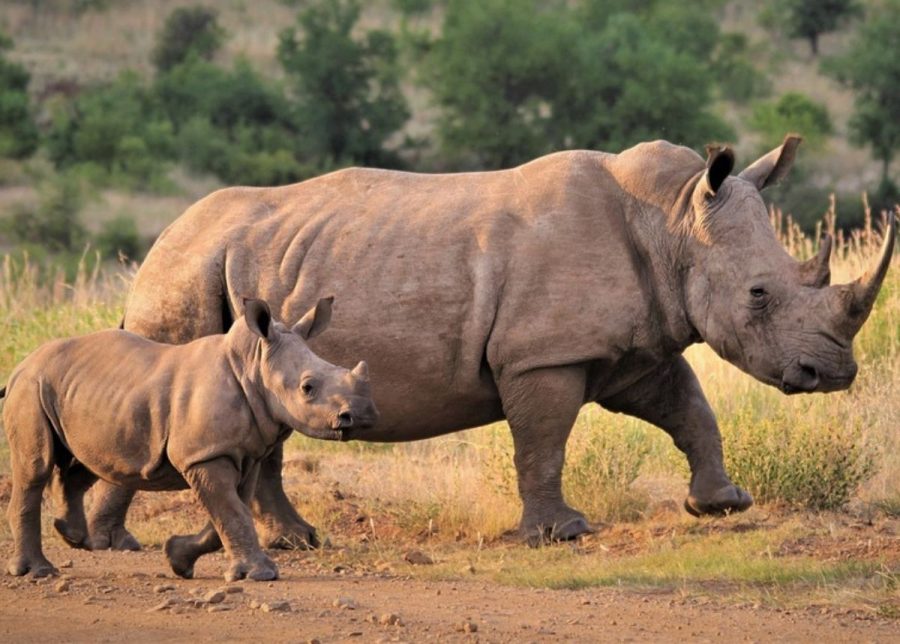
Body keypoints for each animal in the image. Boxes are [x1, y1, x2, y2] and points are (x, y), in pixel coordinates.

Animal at [2, 298, 377, 579]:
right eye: (307, 388)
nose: (363, 414)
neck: (253, 366)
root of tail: (22, 364)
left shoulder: (244, 452)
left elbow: (229, 512)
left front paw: (177, 559)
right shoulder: (205, 454)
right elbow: (232, 511)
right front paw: (262, 574)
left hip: (82, 392)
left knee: (88, 461)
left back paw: (73, 536)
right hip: (31, 387)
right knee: (36, 468)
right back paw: (39, 571)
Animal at [81, 135, 895, 549]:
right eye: (759, 295)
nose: (833, 372)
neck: (671, 221)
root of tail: (161, 238)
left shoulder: (635, 347)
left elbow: (690, 409)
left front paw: (722, 505)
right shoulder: (544, 354)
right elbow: (544, 441)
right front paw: (561, 535)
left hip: (239, 272)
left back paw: (298, 543)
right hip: (186, 275)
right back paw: (111, 544)